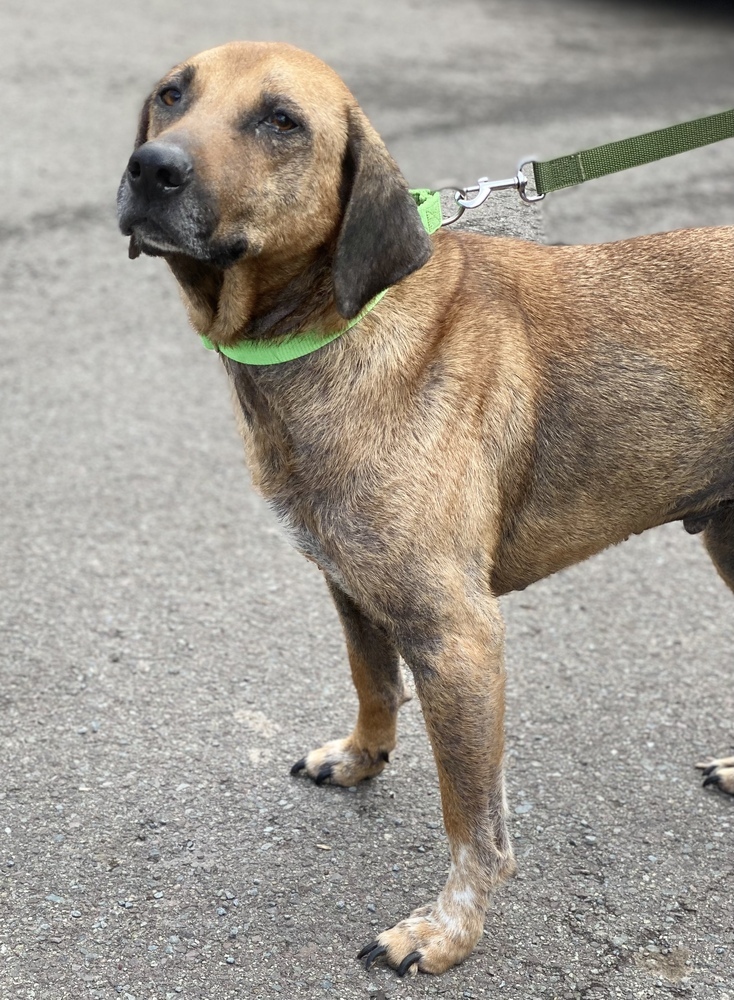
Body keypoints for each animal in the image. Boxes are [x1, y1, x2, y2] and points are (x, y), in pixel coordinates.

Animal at [118, 43, 732, 972]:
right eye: (170, 94)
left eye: (281, 122)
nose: (152, 169)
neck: (336, 323)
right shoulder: (351, 584)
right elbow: (372, 680)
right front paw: (362, 757)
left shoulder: (457, 637)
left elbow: (473, 824)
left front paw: (446, 932)